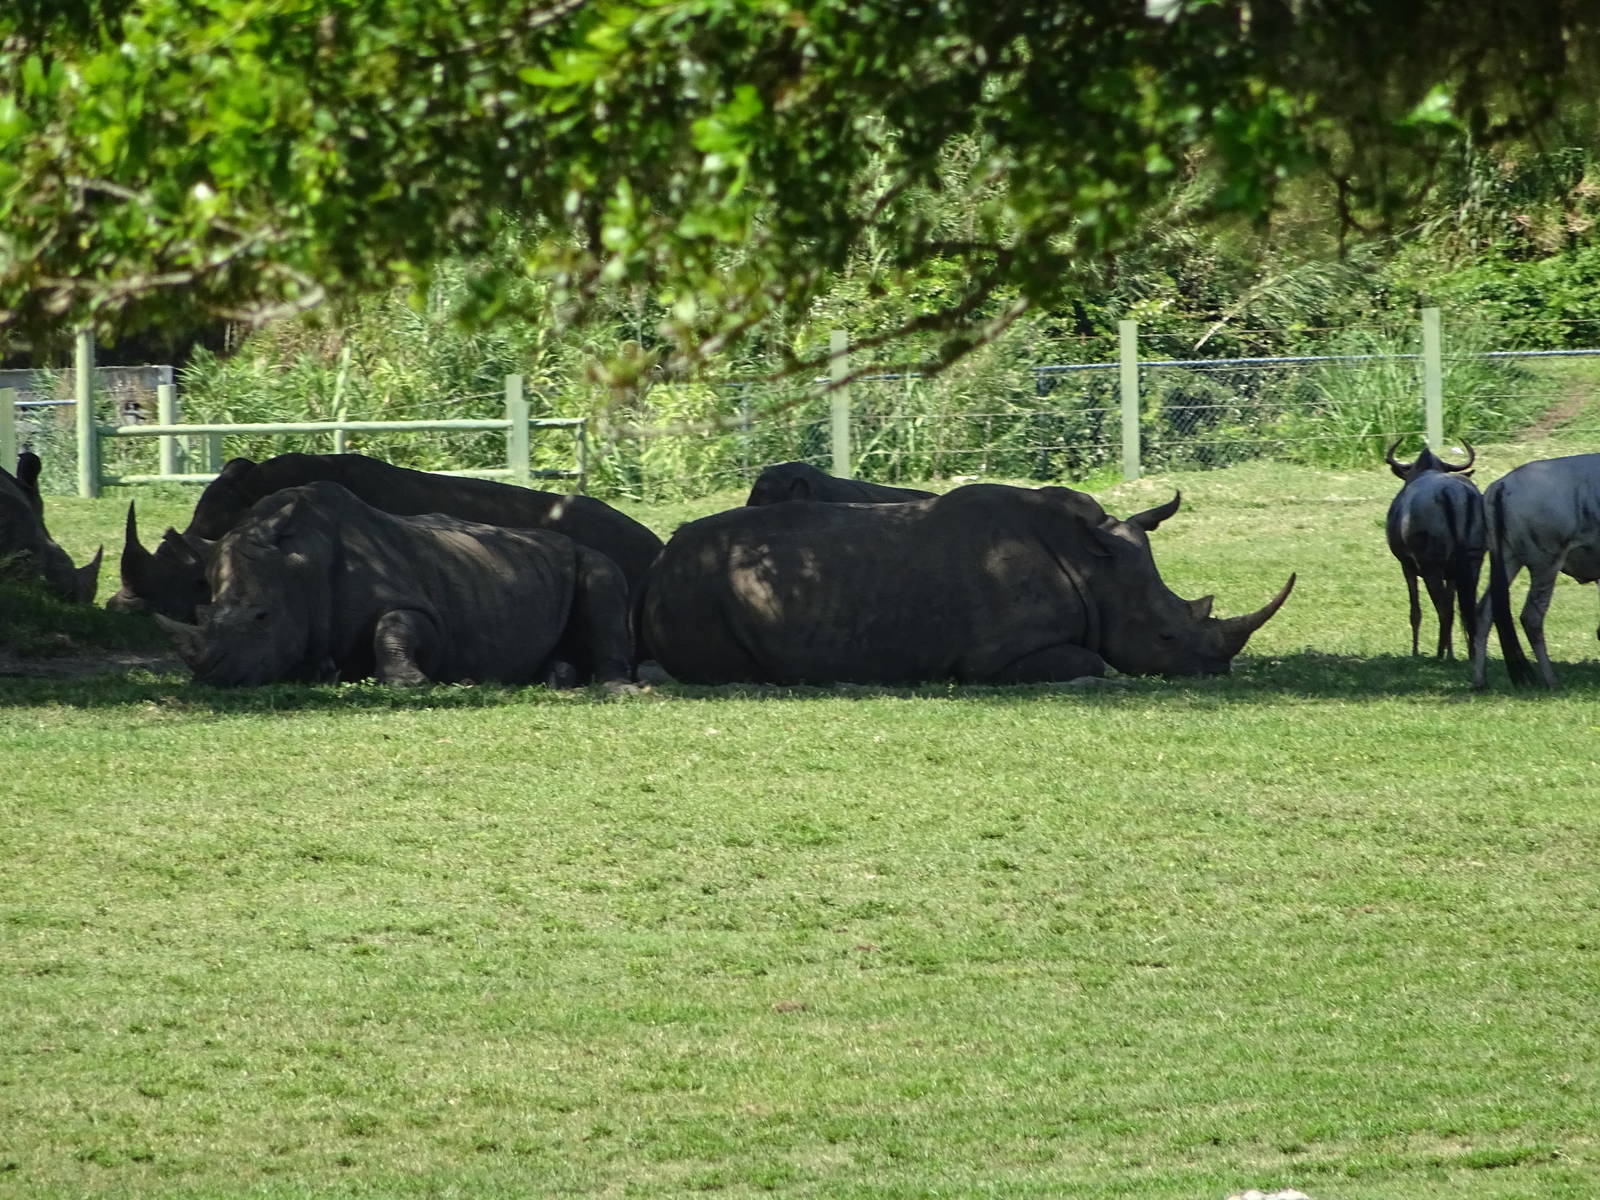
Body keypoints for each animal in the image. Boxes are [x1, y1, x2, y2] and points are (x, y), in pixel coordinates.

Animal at [154, 481, 632, 688]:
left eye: (262, 616)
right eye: (201, 613)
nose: (213, 677)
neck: (301, 560)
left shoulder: (425, 611)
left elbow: (396, 625)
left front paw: (409, 684)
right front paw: (324, 671)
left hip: (589, 558)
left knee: (603, 579)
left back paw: (614, 689)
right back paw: (555, 677)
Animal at [639, 483, 1292, 684]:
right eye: (1165, 638)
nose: (1216, 669)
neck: (1093, 566)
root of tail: (660, 562)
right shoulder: (994, 658)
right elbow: (1093, 661)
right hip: (696, 589)